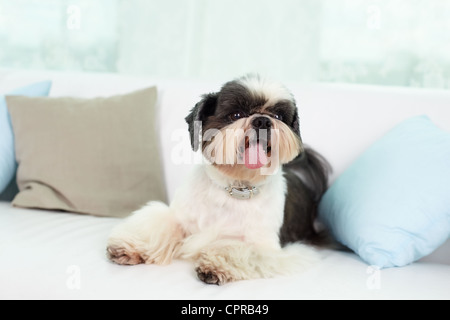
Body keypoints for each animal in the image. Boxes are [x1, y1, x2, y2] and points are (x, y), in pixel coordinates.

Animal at [106, 74, 330, 284]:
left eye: (278, 116)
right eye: (236, 114)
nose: (263, 121)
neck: (236, 188)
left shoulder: (266, 246)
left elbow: (239, 249)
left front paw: (215, 265)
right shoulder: (180, 217)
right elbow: (161, 224)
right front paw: (132, 247)